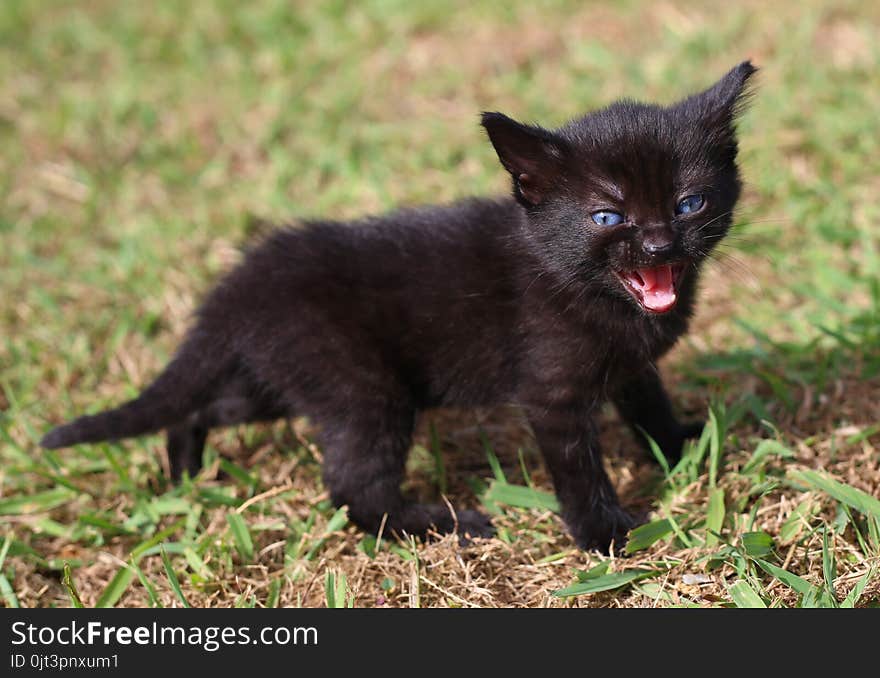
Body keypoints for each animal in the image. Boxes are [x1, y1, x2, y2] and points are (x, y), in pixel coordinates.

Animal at [43, 62, 756, 552]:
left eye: (688, 203)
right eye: (607, 216)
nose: (659, 243)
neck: (588, 287)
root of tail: (243, 280)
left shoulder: (632, 365)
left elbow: (648, 404)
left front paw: (684, 446)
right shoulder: (551, 393)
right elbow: (579, 468)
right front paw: (606, 535)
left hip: (285, 379)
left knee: (206, 406)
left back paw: (185, 471)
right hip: (362, 388)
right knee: (354, 488)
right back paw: (443, 524)